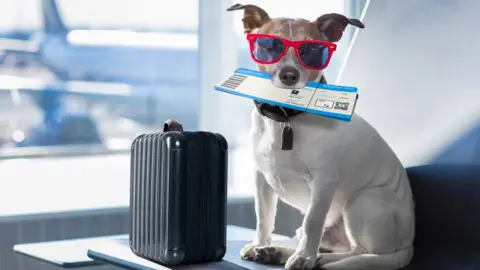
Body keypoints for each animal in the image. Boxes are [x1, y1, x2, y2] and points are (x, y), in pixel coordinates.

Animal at [227, 4, 414, 270]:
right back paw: (277, 251)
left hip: (361, 202)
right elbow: (263, 216)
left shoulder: (323, 182)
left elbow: (312, 221)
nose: (289, 75)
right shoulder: (261, 179)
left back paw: (318, 259)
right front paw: (260, 243)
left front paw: (304, 257)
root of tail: (408, 245)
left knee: (360, 252)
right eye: (270, 45)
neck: (286, 118)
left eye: (312, 50)